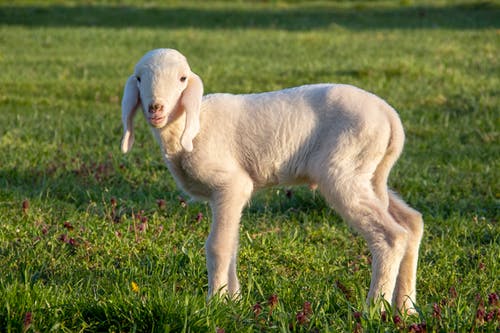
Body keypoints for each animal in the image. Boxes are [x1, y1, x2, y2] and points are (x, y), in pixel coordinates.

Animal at [120, 48, 422, 312]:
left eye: (182, 79)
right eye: (139, 78)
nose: (155, 108)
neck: (190, 126)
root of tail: (390, 118)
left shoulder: (231, 185)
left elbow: (217, 246)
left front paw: (215, 303)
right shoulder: (230, 196)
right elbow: (232, 244)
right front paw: (235, 300)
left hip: (344, 170)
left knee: (391, 236)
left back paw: (374, 308)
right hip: (368, 173)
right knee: (411, 223)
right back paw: (405, 308)